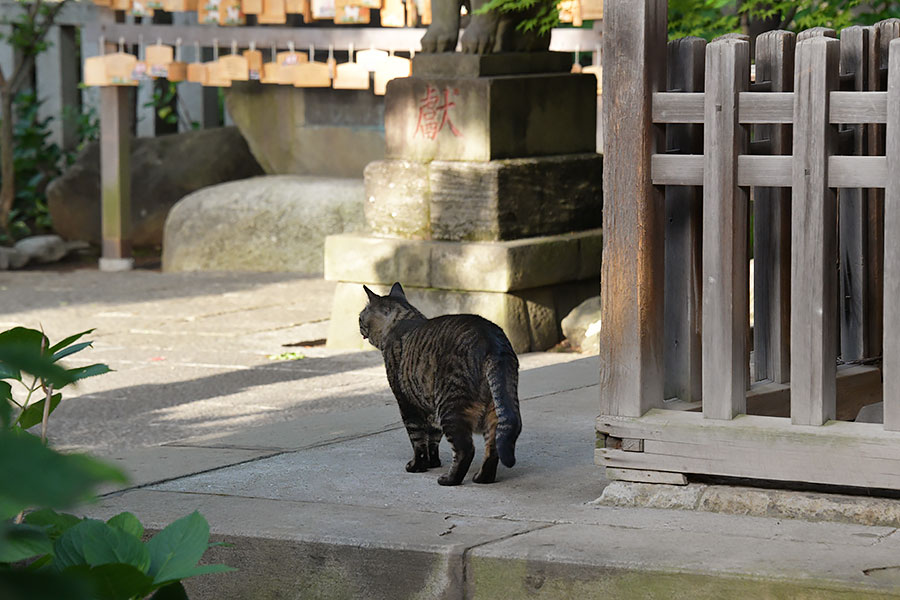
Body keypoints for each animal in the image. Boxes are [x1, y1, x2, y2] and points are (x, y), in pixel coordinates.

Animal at [358, 284, 520, 486]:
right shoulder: (429, 406)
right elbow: (433, 439)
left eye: (360, 317)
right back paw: (483, 478)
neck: (404, 319)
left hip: (450, 407)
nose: (358, 325)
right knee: (493, 447)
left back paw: (450, 479)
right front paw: (433, 462)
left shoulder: (407, 404)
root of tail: (492, 340)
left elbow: (418, 441)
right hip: (495, 409)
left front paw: (417, 466)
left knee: (465, 449)